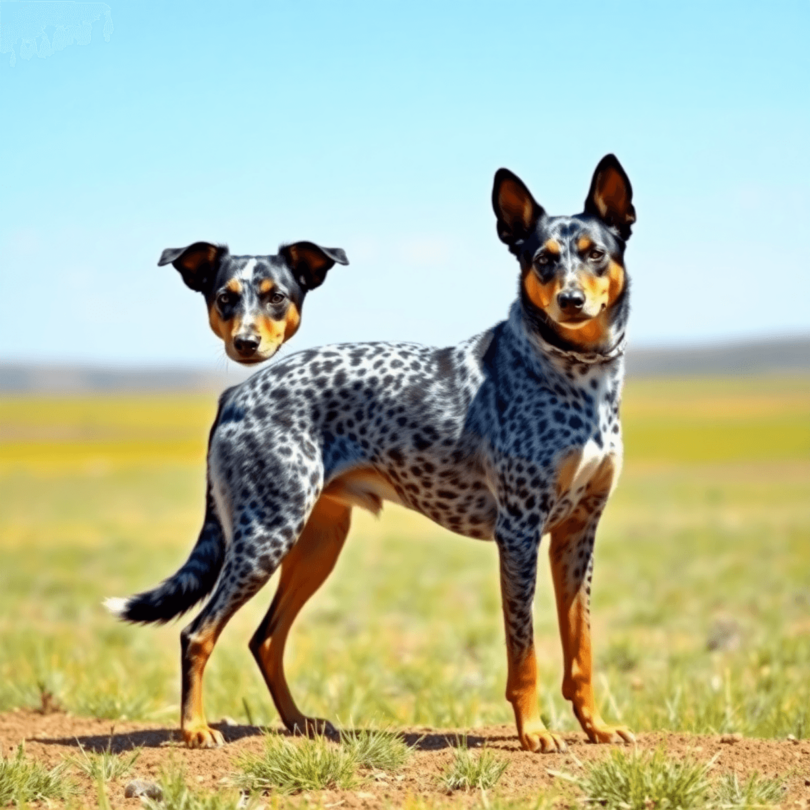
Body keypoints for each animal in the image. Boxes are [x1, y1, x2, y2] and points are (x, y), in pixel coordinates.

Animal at [110, 155, 636, 748]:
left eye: (595, 253)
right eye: (543, 260)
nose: (571, 301)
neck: (577, 370)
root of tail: (237, 392)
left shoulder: (577, 534)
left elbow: (580, 649)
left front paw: (596, 726)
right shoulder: (519, 532)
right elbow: (523, 653)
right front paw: (533, 732)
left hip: (316, 542)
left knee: (265, 638)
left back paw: (301, 724)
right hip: (266, 536)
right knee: (198, 632)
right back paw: (195, 730)